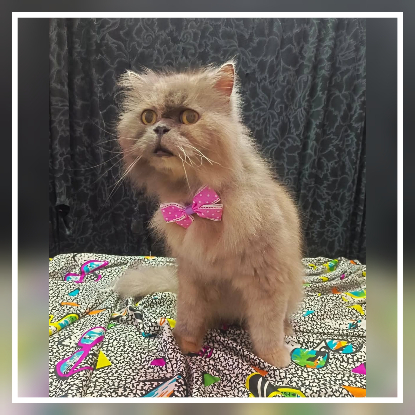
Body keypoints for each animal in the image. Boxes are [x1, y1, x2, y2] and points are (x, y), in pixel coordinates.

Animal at [113, 61, 304, 368]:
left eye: (189, 117)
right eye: (148, 116)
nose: (160, 128)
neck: (195, 200)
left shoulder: (267, 278)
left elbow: (267, 326)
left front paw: (275, 357)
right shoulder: (193, 275)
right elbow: (189, 315)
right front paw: (186, 344)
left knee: (282, 318)